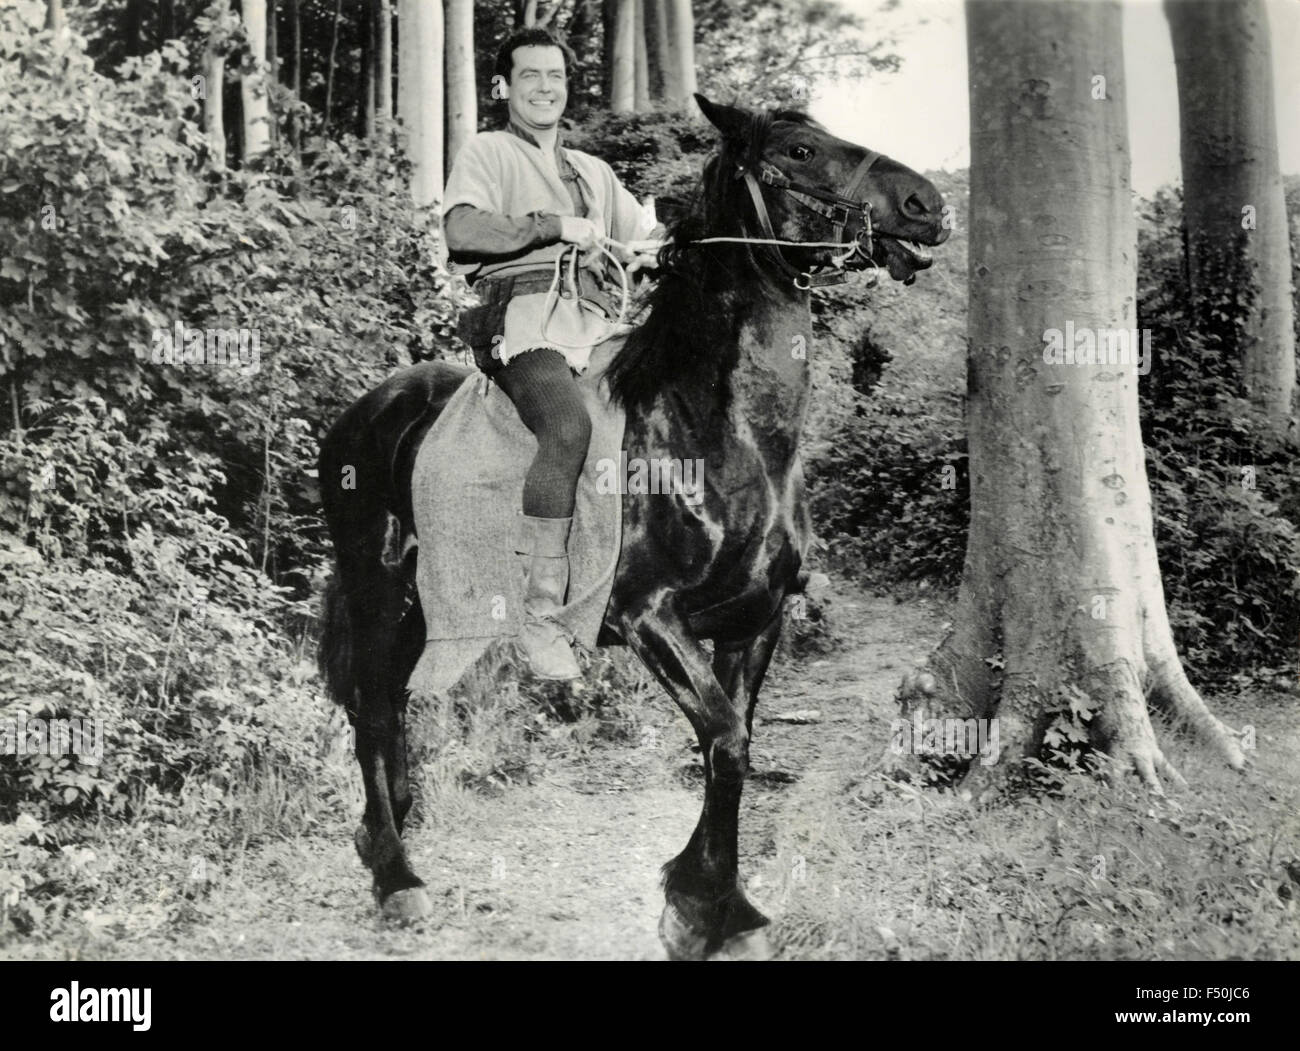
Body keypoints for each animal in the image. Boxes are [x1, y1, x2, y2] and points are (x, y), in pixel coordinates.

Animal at [314, 98, 946, 962]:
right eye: (798, 149)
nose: (927, 204)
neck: (714, 431)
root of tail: (368, 409)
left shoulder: (754, 621)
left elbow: (733, 741)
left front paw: (722, 902)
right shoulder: (650, 617)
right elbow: (726, 740)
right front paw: (697, 907)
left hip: (425, 604)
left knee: (391, 705)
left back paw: (389, 835)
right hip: (378, 591)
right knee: (373, 705)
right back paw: (396, 875)